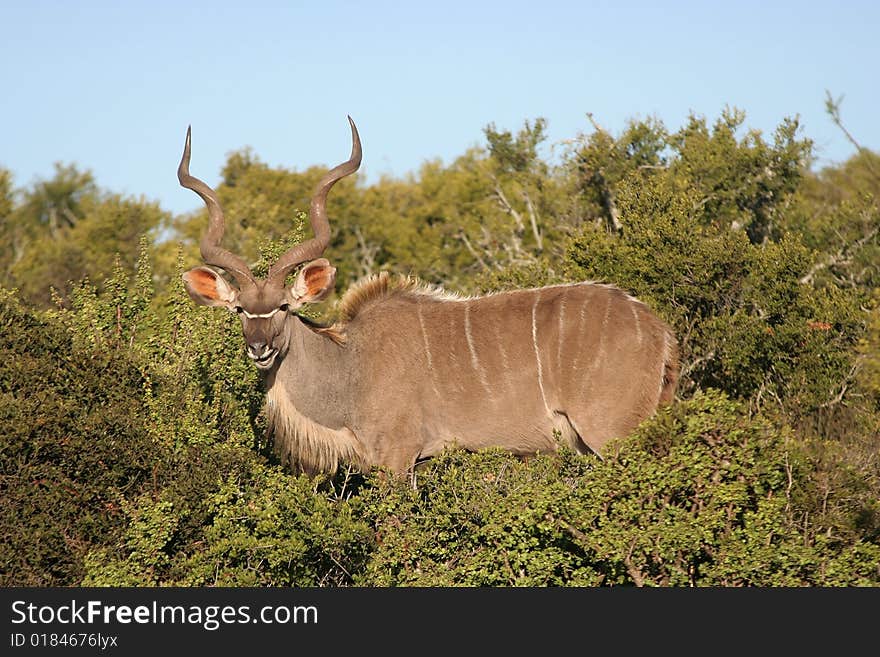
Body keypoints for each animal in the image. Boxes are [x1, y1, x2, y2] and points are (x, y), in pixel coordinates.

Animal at [175, 118, 676, 474]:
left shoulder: (397, 457)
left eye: (283, 306)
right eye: (240, 309)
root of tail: (658, 330)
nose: (259, 348)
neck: (350, 363)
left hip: (612, 432)